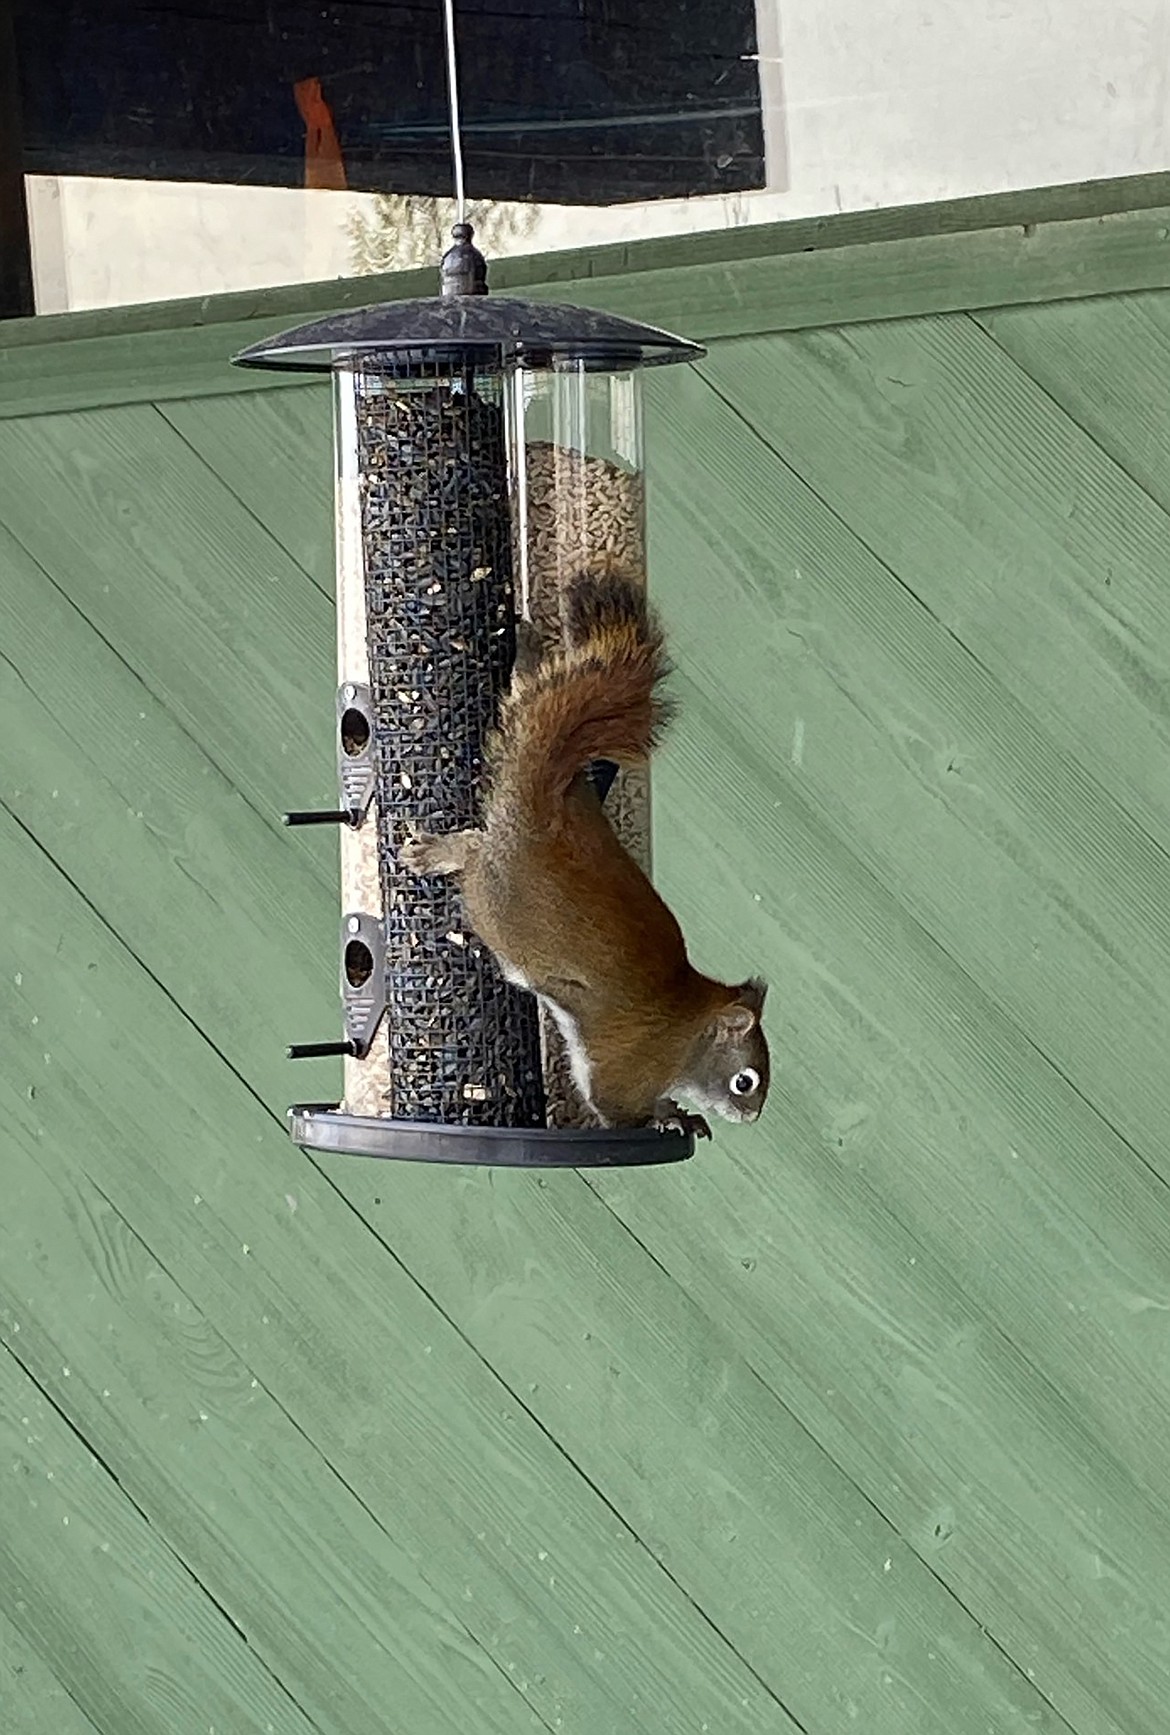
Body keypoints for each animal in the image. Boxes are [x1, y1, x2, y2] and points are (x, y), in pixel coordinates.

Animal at [395, 572, 770, 1138]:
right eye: (745, 1080)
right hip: (496, 907)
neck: (688, 1034)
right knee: (476, 855)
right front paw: (671, 1117)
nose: (752, 1115)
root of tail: (538, 818)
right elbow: (620, 1109)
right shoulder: (628, 1072)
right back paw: (439, 853)